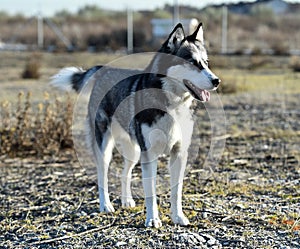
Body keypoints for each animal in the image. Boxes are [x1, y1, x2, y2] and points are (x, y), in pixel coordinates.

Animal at [51, 23, 220, 228]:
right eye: (193, 63)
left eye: (206, 62)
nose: (216, 81)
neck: (171, 104)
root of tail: (106, 69)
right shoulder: (150, 155)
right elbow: (151, 192)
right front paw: (153, 219)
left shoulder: (179, 153)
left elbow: (176, 191)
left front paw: (178, 217)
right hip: (105, 147)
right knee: (102, 175)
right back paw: (106, 205)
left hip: (133, 151)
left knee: (125, 174)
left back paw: (127, 201)